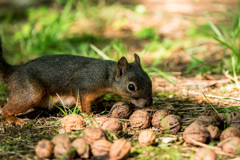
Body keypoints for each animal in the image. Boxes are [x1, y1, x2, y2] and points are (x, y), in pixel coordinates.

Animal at [0, 38, 152, 125]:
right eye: (131, 87)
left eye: (150, 80)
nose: (148, 103)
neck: (106, 76)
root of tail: (15, 71)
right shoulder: (82, 85)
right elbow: (83, 103)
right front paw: (90, 114)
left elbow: (98, 100)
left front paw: (102, 106)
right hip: (31, 92)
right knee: (5, 109)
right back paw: (14, 119)